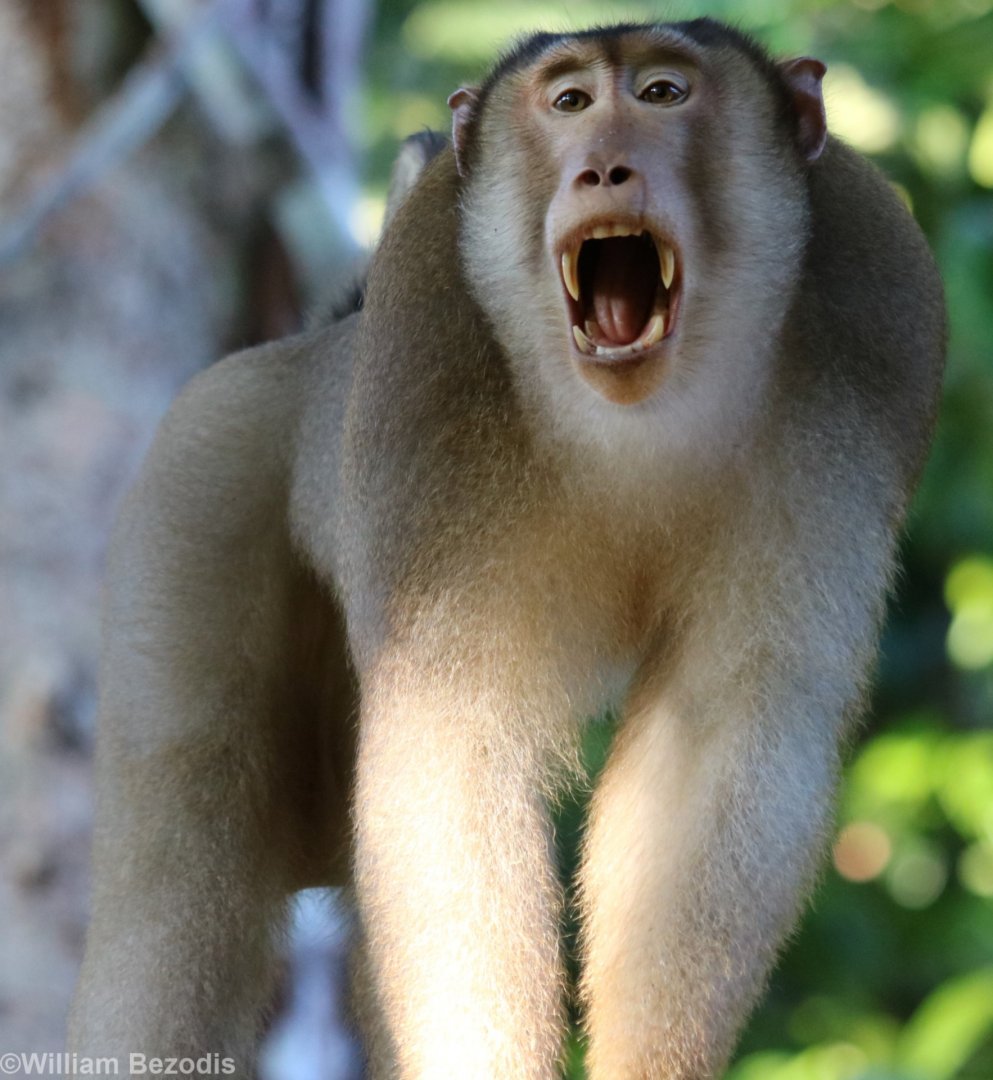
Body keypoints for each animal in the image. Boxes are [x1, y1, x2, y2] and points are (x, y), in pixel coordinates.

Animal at [69, 18, 946, 1080]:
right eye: (567, 102)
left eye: (661, 92)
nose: (603, 168)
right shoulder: (425, 340)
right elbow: (449, 745)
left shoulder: (874, 317)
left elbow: (725, 725)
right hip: (201, 468)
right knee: (178, 841)